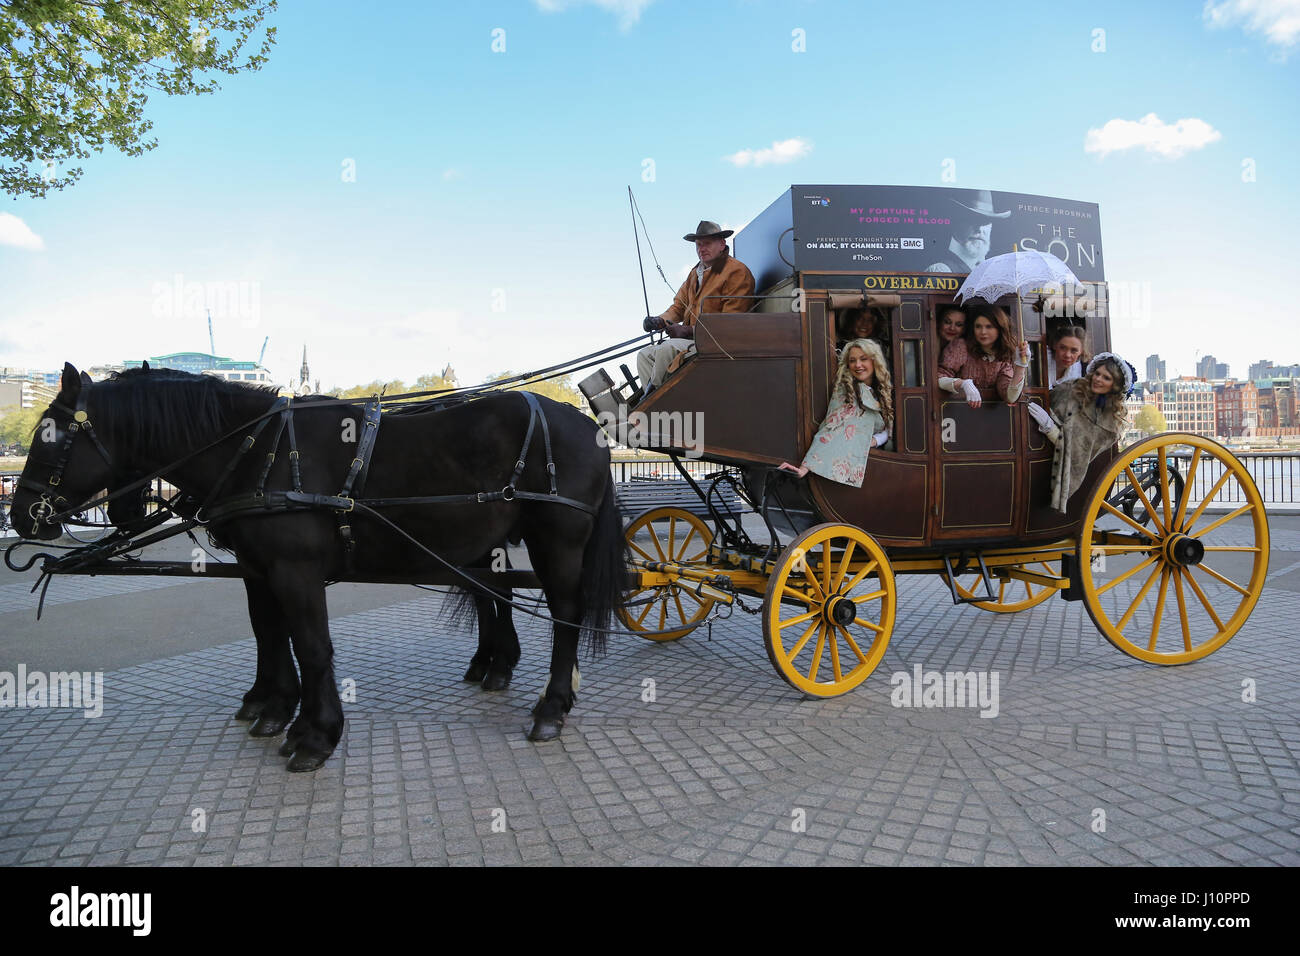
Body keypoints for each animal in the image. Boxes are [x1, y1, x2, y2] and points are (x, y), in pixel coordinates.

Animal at [11, 361, 624, 775]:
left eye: (49, 437)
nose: (21, 515)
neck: (256, 450)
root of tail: (586, 425)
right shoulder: (259, 568)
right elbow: (269, 633)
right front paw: (276, 707)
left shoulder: (295, 570)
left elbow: (310, 645)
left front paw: (315, 733)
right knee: (496, 592)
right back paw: (499, 668)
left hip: (557, 542)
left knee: (564, 612)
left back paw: (552, 705)